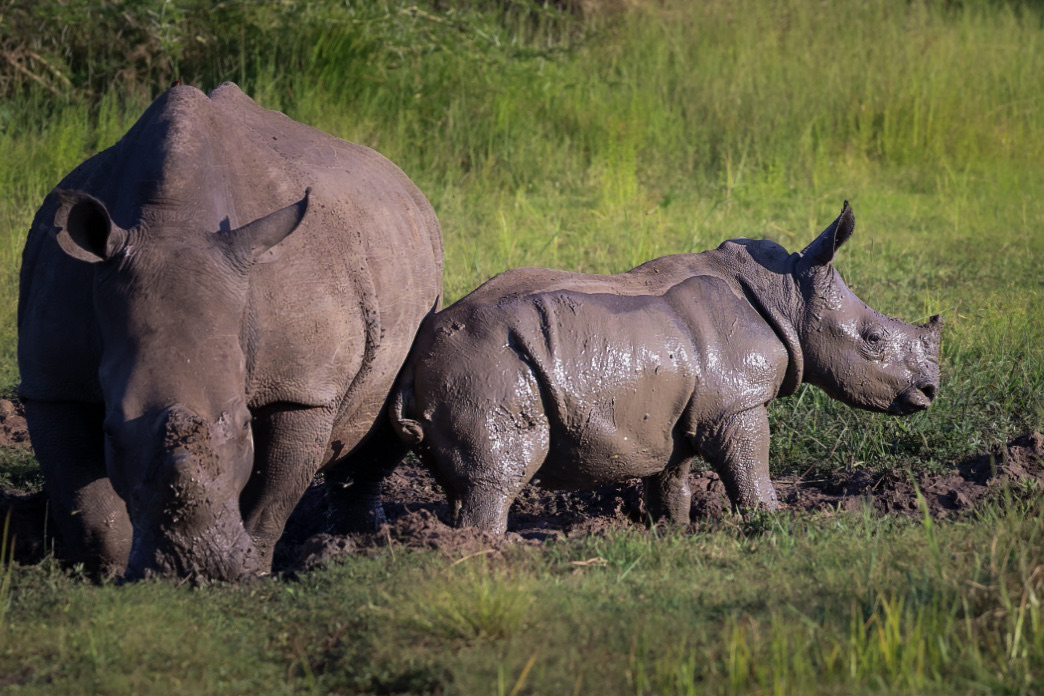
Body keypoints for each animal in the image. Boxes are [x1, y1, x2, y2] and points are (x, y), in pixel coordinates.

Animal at [18, 83, 444, 581]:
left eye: (244, 426)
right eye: (110, 429)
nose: (192, 567)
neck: (171, 222)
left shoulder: (302, 387)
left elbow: (271, 493)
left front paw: (253, 570)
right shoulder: (51, 382)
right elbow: (84, 501)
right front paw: (110, 573)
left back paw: (356, 540)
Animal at [390, 203, 941, 533]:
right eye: (872, 340)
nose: (932, 391)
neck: (788, 294)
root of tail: (416, 357)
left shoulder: (678, 407)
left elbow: (673, 473)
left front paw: (673, 530)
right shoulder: (736, 402)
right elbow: (751, 464)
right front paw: (771, 519)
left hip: (469, 364)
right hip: (488, 366)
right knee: (499, 471)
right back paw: (484, 551)